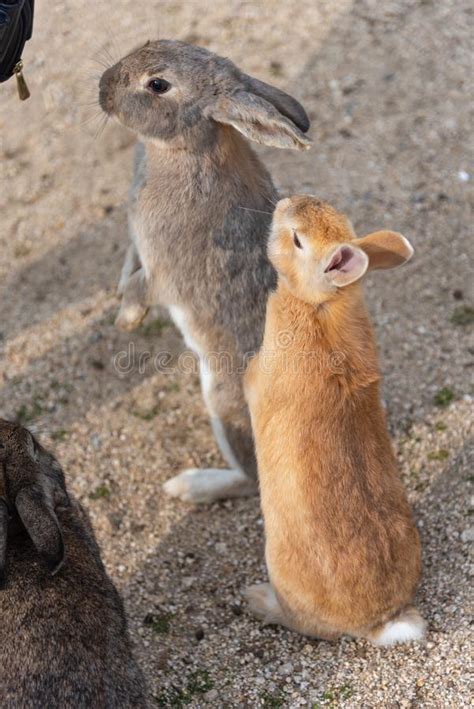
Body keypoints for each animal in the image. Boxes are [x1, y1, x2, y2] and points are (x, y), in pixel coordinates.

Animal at [99, 40, 312, 504]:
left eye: (158, 85)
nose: (103, 87)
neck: (181, 150)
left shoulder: (163, 268)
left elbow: (142, 288)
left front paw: (125, 321)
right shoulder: (137, 242)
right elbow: (129, 266)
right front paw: (119, 296)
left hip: (223, 401)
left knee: (251, 480)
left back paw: (188, 486)